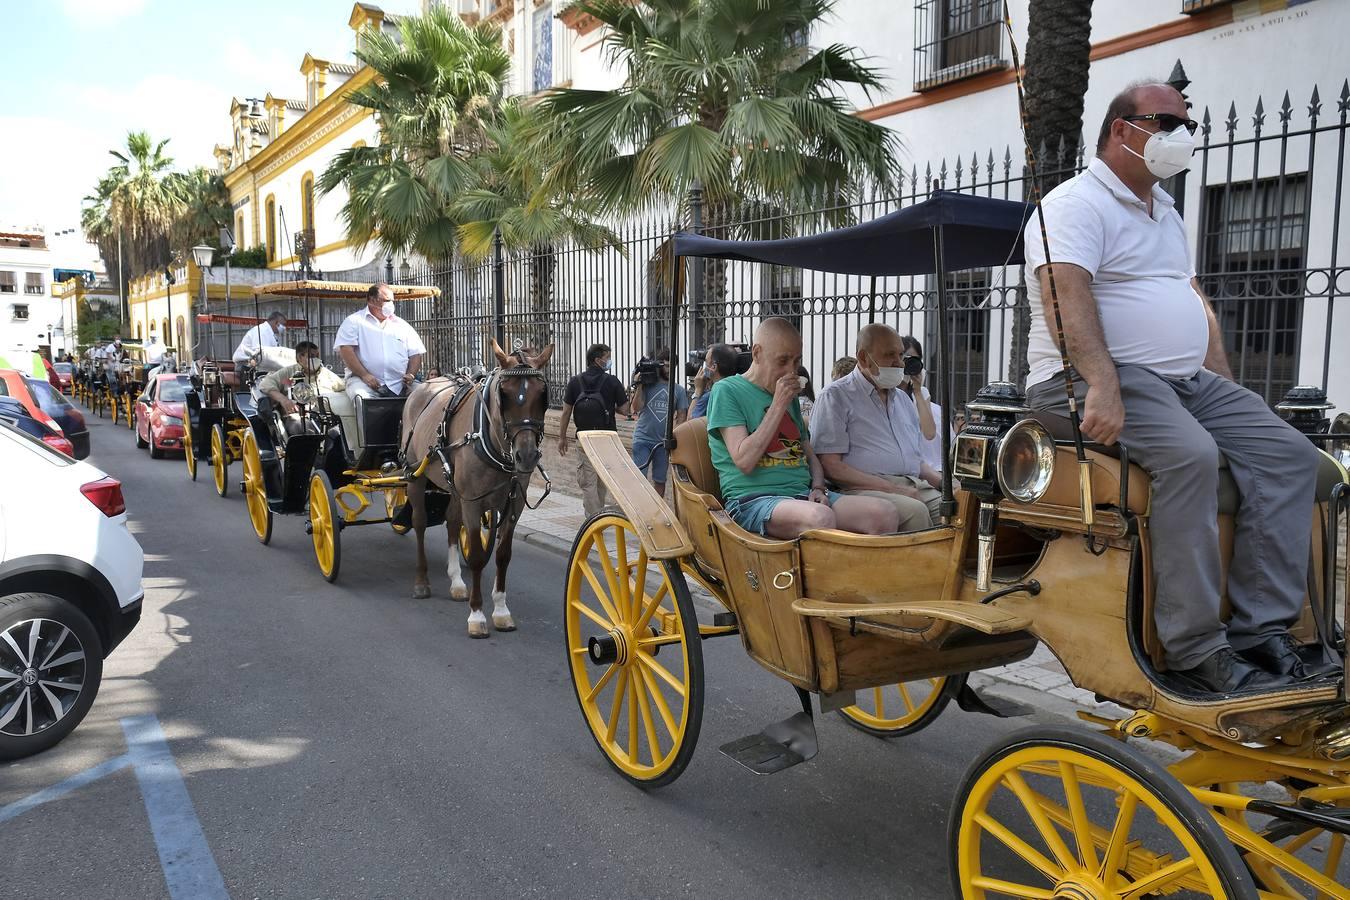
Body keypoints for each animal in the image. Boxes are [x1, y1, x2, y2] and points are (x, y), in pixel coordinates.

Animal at [399, 340, 553, 639]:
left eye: (542, 394)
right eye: (504, 394)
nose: (527, 456)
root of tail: (421, 387)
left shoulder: (513, 505)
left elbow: (503, 556)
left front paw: (502, 612)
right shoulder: (473, 502)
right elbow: (478, 557)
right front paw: (477, 615)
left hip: (453, 487)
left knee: (450, 521)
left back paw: (457, 583)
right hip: (415, 477)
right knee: (420, 523)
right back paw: (422, 582)